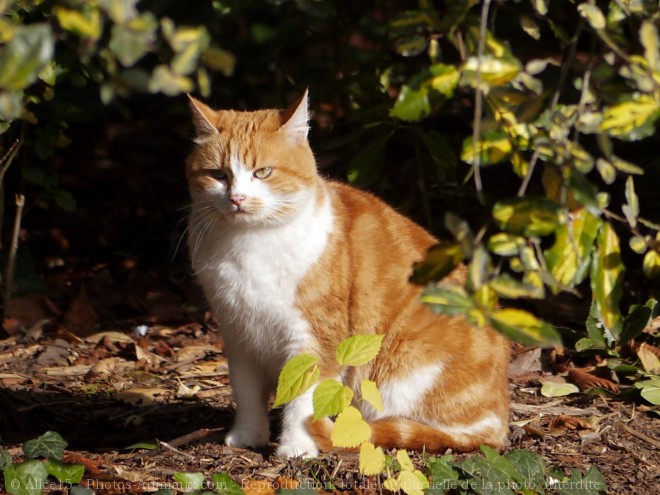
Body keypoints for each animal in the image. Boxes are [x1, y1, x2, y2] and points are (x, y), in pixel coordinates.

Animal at [186, 91, 510, 460]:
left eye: (263, 172)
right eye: (218, 174)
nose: (237, 198)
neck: (249, 245)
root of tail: (501, 415)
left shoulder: (314, 337)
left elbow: (304, 397)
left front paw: (297, 445)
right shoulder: (238, 333)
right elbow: (246, 391)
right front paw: (248, 435)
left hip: (406, 367)